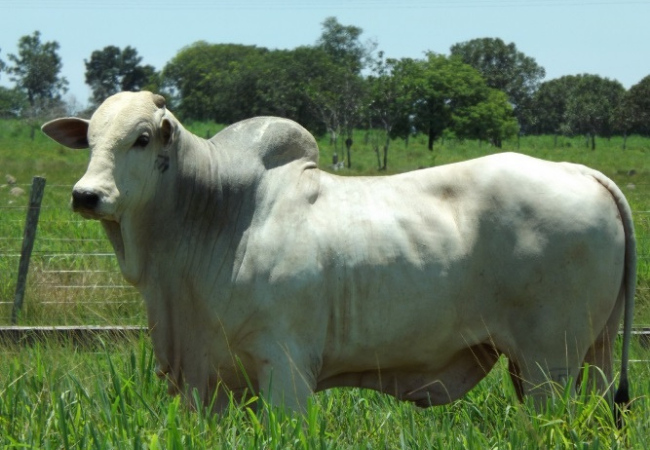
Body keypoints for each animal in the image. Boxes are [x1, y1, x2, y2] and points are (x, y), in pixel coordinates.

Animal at [41, 90, 632, 414]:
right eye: (89, 140)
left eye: (142, 138)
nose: (86, 195)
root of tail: (580, 171)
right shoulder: (211, 381)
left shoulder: (285, 367)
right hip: (591, 356)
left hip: (549, 363)